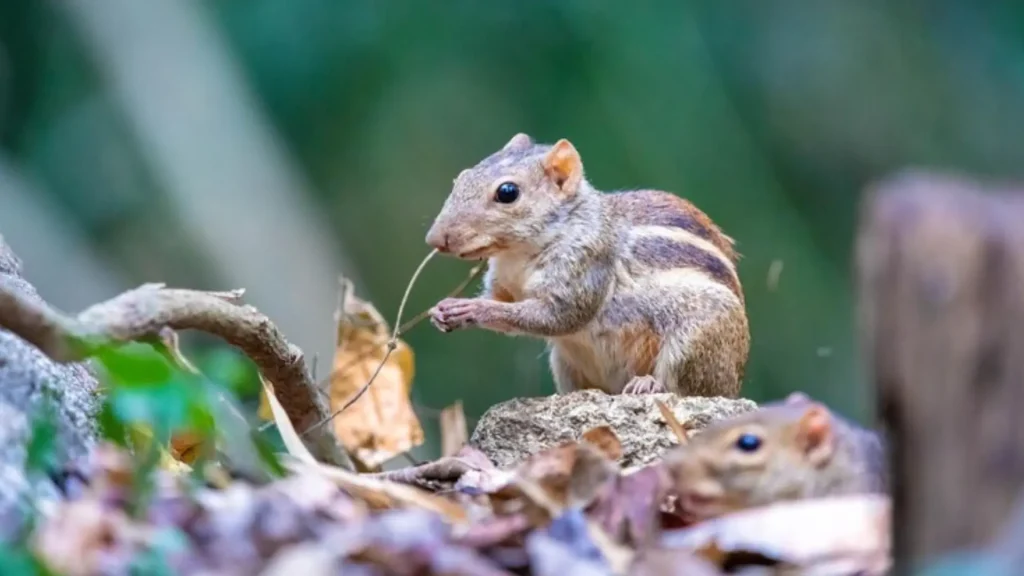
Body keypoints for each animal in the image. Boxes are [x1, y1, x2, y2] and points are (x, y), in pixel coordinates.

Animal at [424, 133, 749, 397]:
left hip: (698, 338)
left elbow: (555, 317)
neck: (517, 255)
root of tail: (733, 384)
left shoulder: (584, 269)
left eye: (507, 192)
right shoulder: (503, 283)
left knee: (684, 388)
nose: (434, 239)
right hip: (564, 363)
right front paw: (442, 311)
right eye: (460, 178)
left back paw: (649, 384)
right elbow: (501, 302)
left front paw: (471, 308)